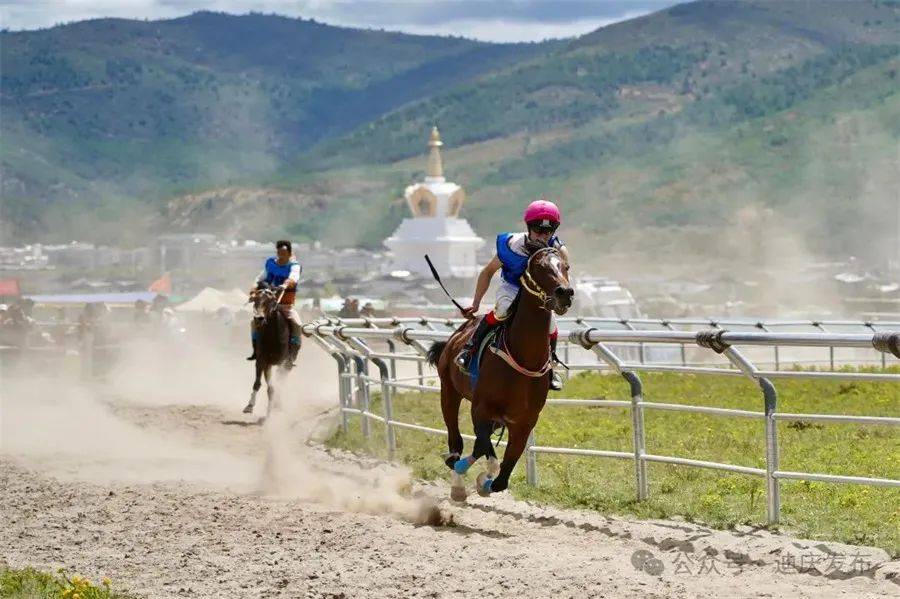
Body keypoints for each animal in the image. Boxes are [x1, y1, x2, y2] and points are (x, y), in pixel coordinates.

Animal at [243, 284, 292, 415]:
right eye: (255, 300)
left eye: (270, 301)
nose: (258, 318)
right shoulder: (262, 360)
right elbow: (259, 383)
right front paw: (250, 405)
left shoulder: (281, 362)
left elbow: (277, 384)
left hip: (286, 364)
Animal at [426, 245, 573, 500]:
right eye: (540, 266)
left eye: (565, 266)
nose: (565, 292)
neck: (523, 359)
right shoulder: (480, 409)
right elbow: (486, 451)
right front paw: (474, 475)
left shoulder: (524, 421)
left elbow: (502, 475)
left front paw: (484, 482)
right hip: (449, 390)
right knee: (455, 439)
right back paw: (457, 478)